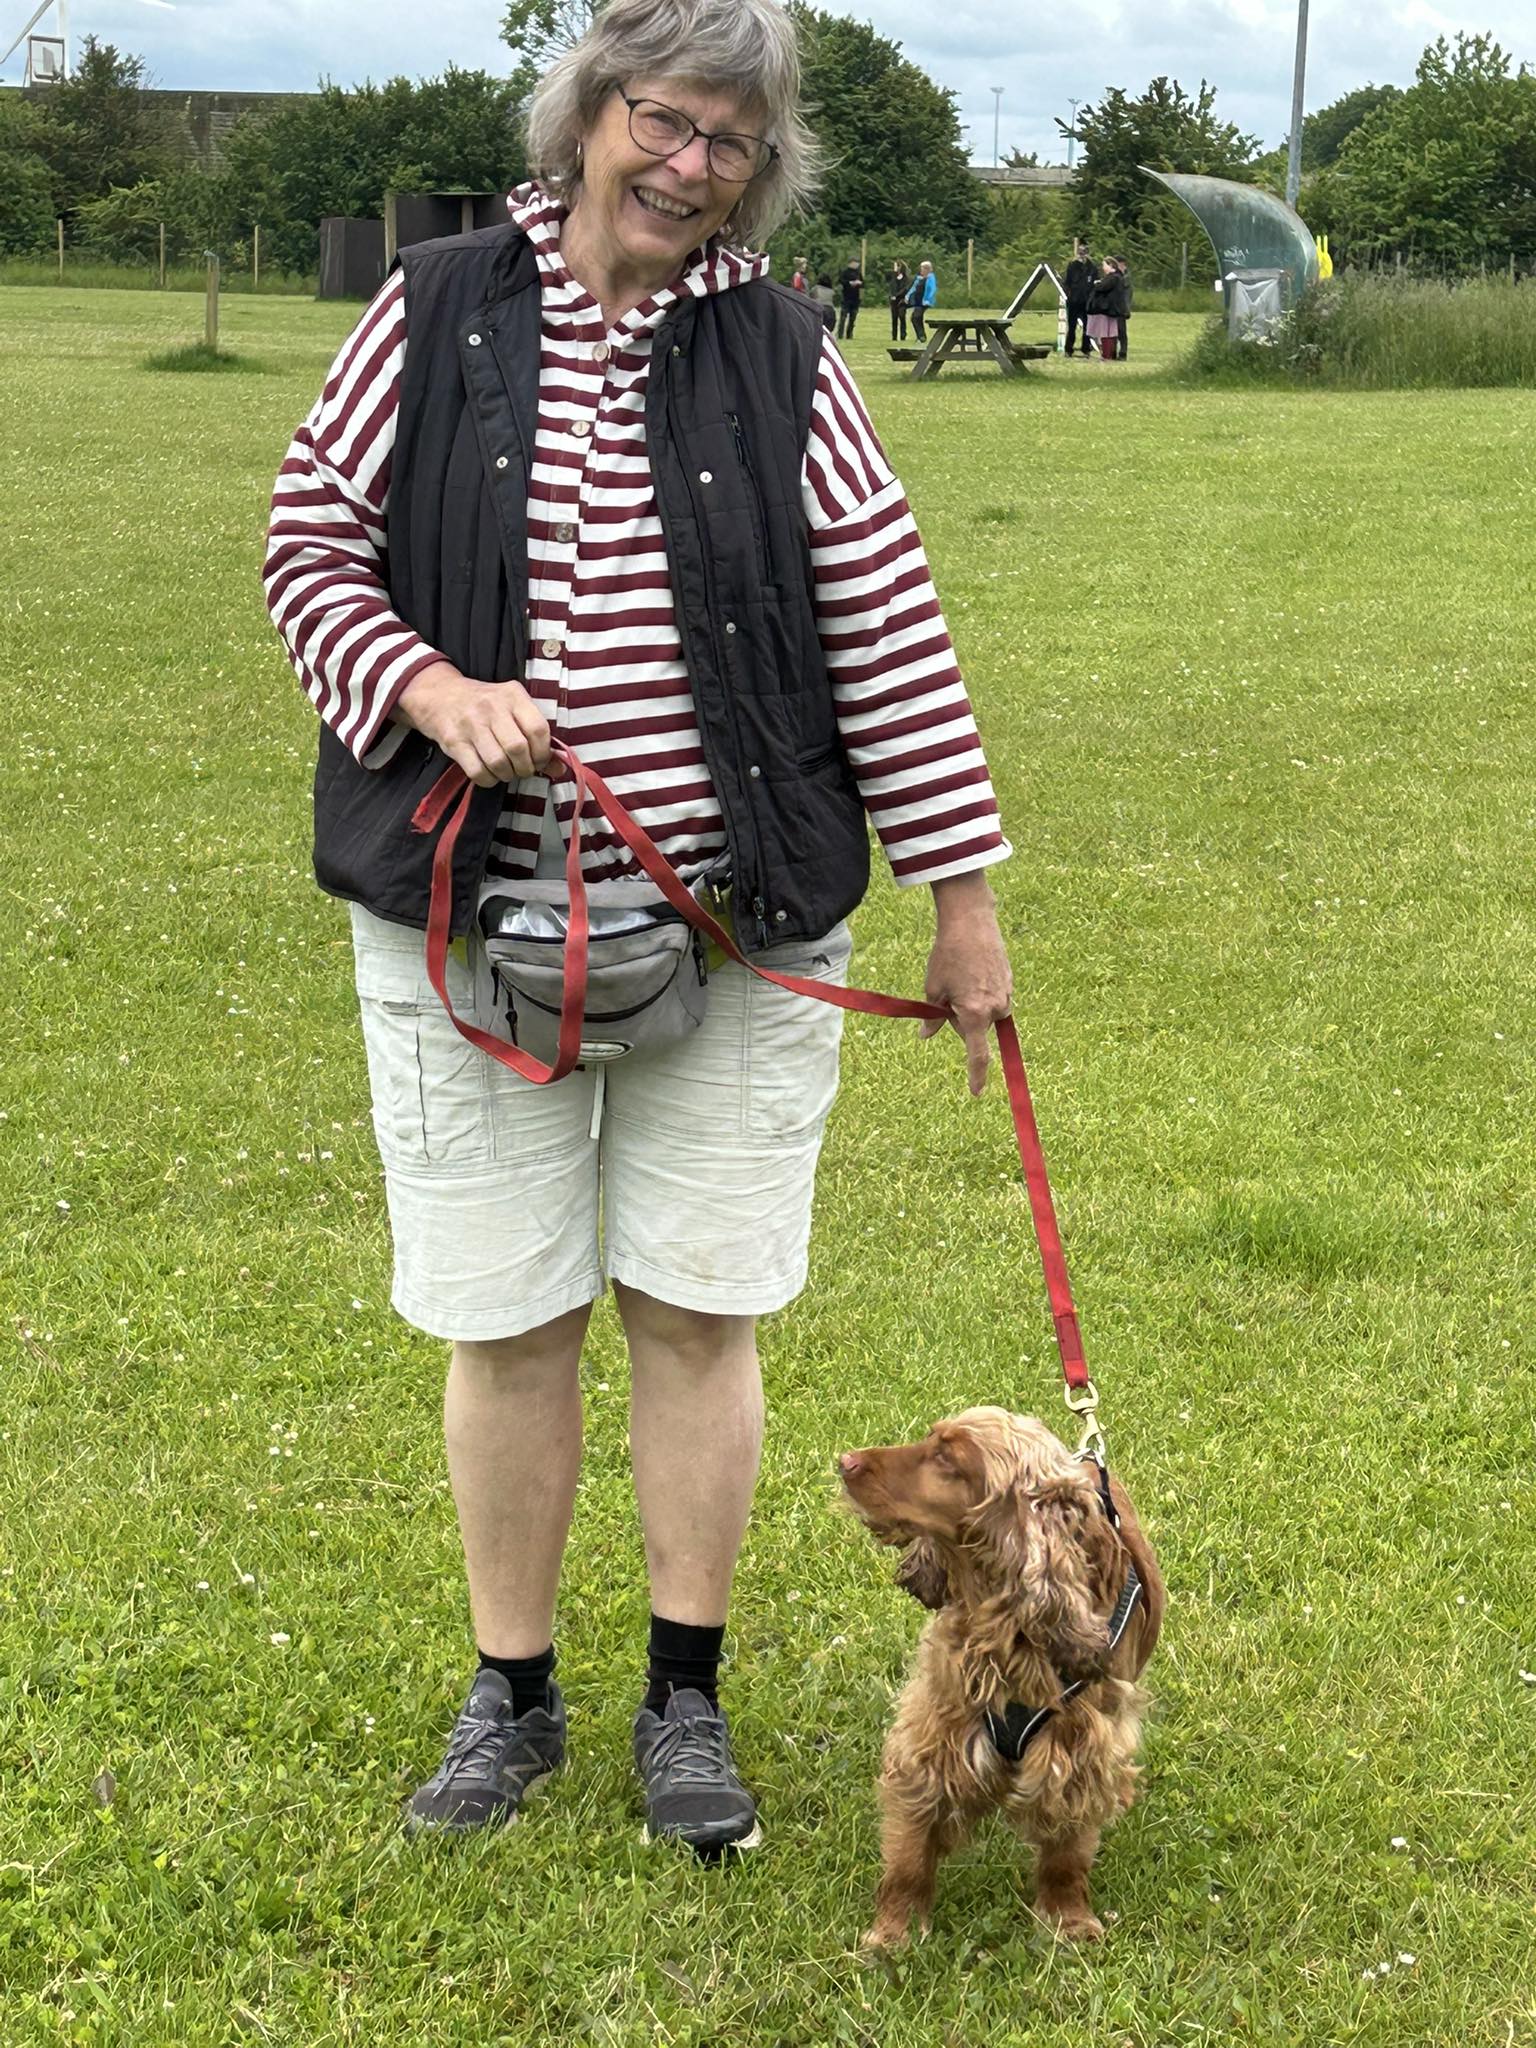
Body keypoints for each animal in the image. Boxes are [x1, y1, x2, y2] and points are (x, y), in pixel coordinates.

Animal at [838, 1407, 1163, 1950]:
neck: (1008, 1627)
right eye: (930, 1437)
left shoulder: (1082, 1748)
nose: (845, 1461)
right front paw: (895, 1932)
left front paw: (1069, 1922)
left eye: (948, 1458)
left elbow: (1067, 1854)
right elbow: (909, 1851)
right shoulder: (934, 1734)